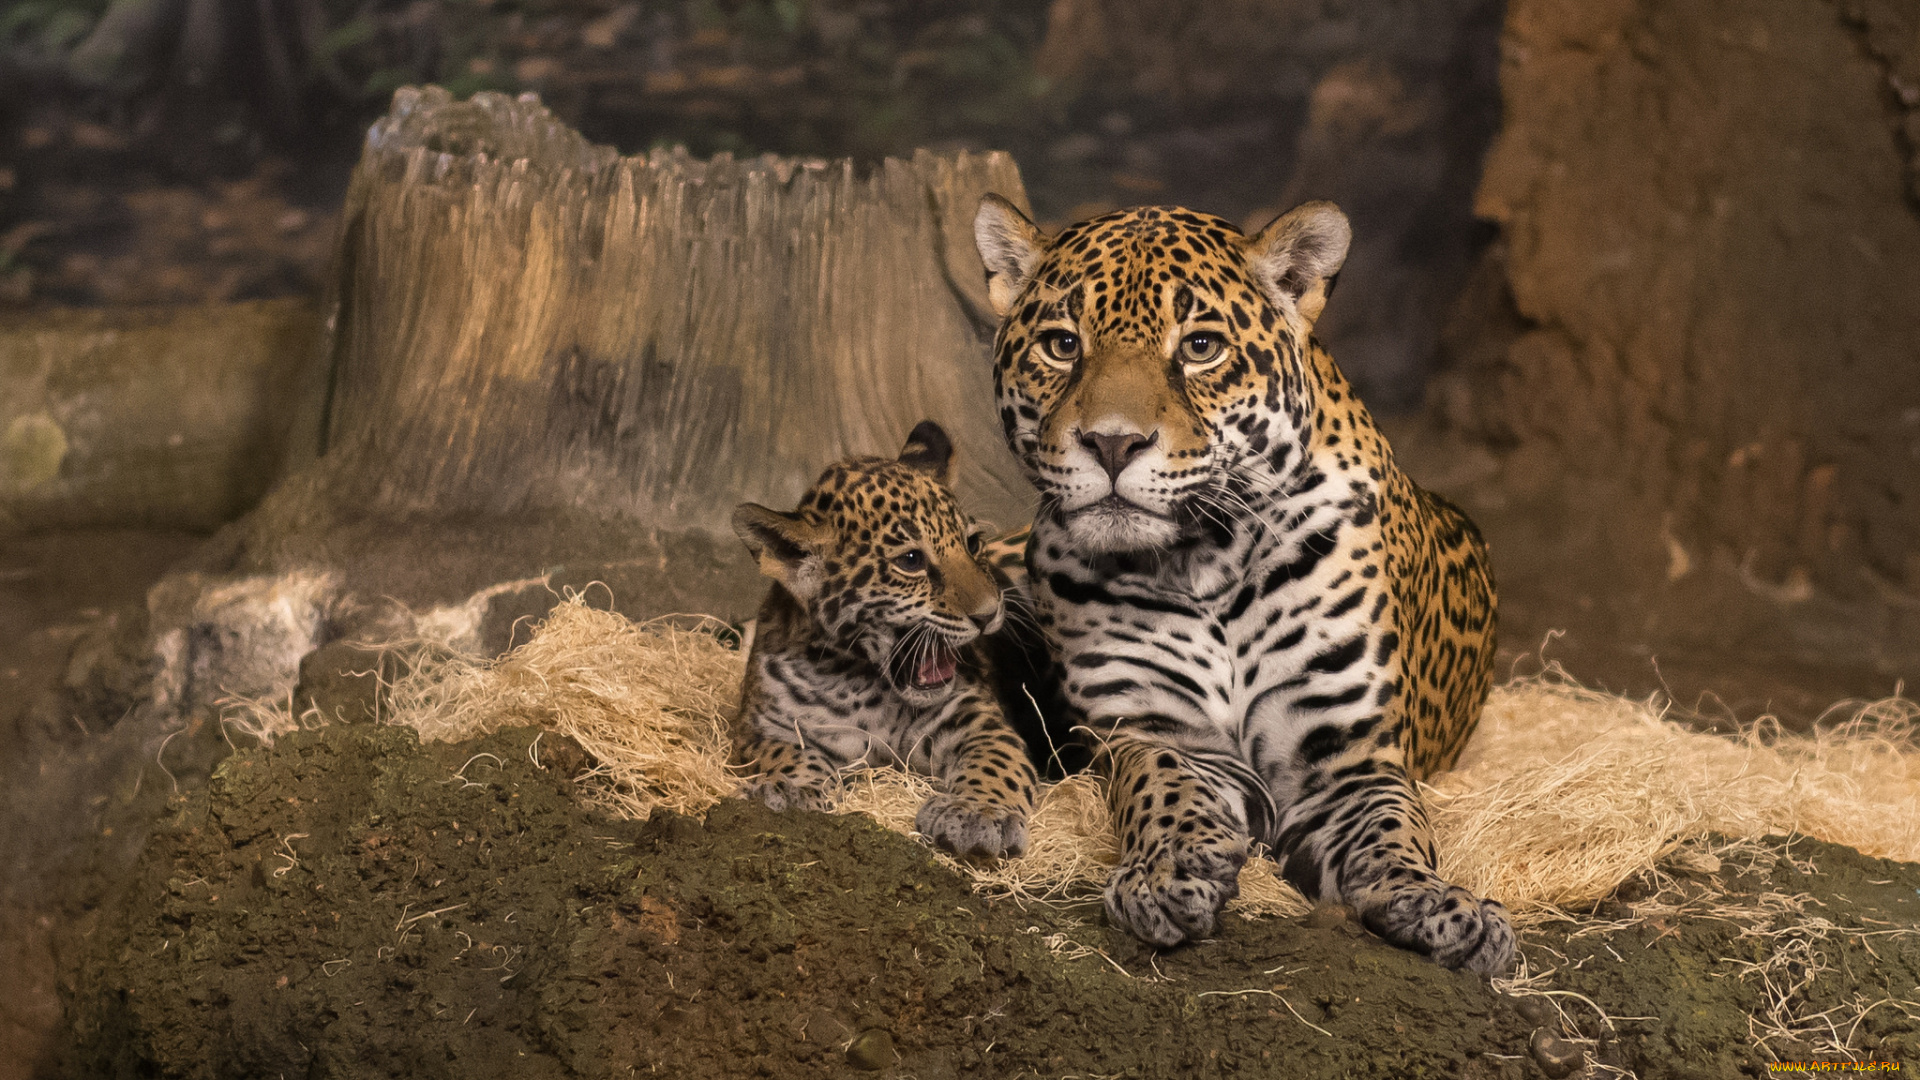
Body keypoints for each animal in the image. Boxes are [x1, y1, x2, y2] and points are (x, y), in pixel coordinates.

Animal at [730, 420, 1038, 859]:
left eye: (972, 543)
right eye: (910, 561)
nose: (989, 613)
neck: (860, 681)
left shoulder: (978, 722)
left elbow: (994, 766)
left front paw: (977, 814)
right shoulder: (761, 728)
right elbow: (788, 754)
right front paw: (789, 791)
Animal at [971, 195, 1513, 975]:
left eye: (1201, 347)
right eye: (1062, 345)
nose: (1111, 443)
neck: (1206, 562)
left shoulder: (1348, 758)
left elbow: (1394, 829)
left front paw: (1443, 905)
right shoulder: (1155, 729)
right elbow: (1162, 781)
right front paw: (1169, 873)